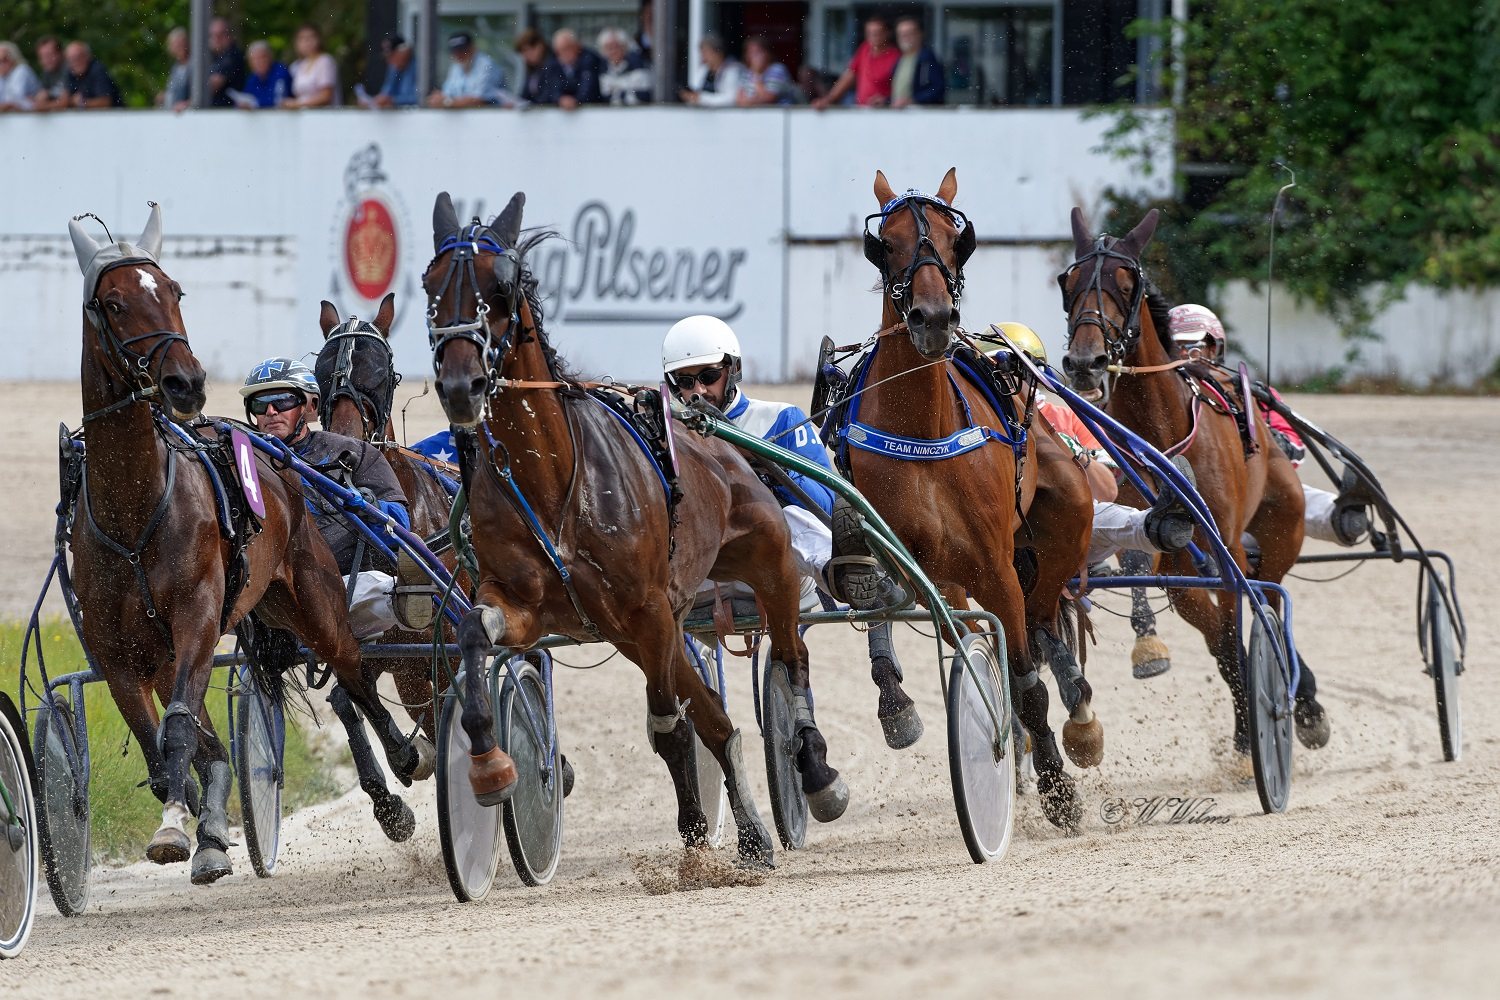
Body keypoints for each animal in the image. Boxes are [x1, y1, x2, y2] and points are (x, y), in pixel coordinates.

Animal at [65, 204, 427, 884]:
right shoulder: (118, 655)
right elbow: (160, 745)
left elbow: (179, 731)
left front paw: (182, 830)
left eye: (174, 290)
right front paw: (189, 820)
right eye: (115, 302)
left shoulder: (198, 615)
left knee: (354, 671)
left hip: (312, 597)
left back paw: (402, 759)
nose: (185, 381)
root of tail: (283, 470)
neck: (134, 512)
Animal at [423, 191, 833, 866]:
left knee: (790, 657)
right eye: (430, 285)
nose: (461, 386)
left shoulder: (647, 609)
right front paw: (488, 766)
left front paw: (694, 830)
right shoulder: (526, 604)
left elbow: (670, 728)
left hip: (764, 565)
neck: (553, 479)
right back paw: (752, 833)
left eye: (500, 286)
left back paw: (815, 771)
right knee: (719, 723)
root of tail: (715, 437)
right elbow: (473, 634)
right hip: (651, 625)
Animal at [839, 169, 1100, 831]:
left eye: (958, 243)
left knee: (1042, 623)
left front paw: (1059, 792)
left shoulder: (996, 567)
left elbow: (1028, 684)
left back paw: (1076, 720)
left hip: (1061, 527)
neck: (925, 429)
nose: (933, 317)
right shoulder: (930, 572)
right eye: (888, 244)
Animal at [1057, 207, 1327, 753]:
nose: (1084, 362)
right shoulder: (1174, 556)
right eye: (1068, 283)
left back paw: (1301, 695)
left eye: (1126, 284)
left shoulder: (1226, 550)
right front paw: (1244, 735)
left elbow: (1238, 622)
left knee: (1269, 597)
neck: (1161, 430)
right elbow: (1220, 644)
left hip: (1279, 527)